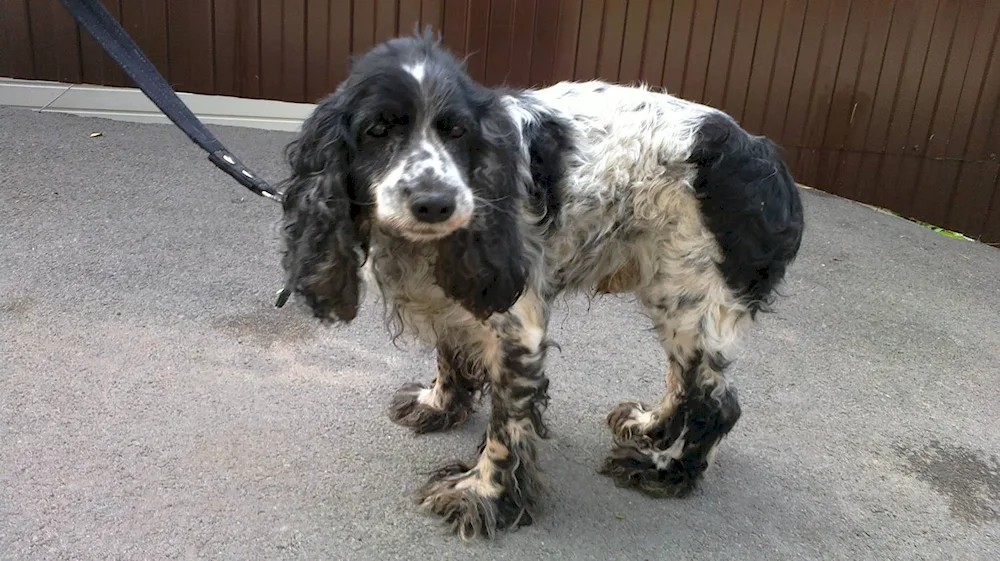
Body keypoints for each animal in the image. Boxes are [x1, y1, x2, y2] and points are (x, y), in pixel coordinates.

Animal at [276, 29, 804, 540]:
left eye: (457, 131)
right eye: (378, 129)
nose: (435, 203)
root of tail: (767, 161)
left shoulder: (517, 328)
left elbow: (506, 428)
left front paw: (481, 495)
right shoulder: (456, 298)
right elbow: (450, 355)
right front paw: (438, 404)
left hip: (692, 295)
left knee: (717, 402)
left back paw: (664, 470)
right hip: (672, 293)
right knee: (684, 381)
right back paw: (650, 427)